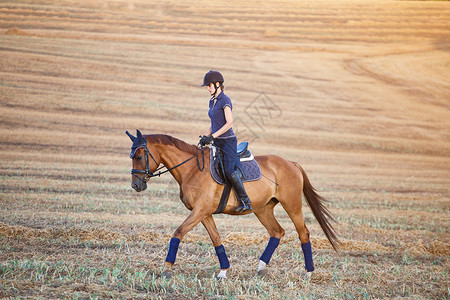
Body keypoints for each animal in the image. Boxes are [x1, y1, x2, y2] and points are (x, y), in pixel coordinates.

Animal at [126, 130, 338, 280]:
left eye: (139, 156)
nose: (136, 185)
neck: (192, 169)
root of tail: (291, 163)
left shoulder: (200, 211)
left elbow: (177, 233)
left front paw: (167, 268)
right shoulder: (204, 213)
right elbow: (216, 239)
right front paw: (223, 271)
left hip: (292, 205)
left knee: (303, 234)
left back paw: (308, 272)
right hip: (263, 209)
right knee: (276, 232)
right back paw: (261, 267)